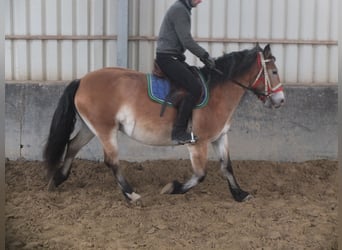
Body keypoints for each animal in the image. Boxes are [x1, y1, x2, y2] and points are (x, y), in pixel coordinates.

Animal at [42, 44, 284, 202]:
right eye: (273, 71)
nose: (280, 100)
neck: (218, 92)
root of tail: (82, 80)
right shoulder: (198, 143)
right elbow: (200, 174)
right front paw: (172, 188)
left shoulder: (220, 137)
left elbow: (227, 167)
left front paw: (240, 194)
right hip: (105, 129)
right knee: (112, 161)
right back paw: (131, 194)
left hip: (90, 127)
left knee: (72, 146)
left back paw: (57, 179)